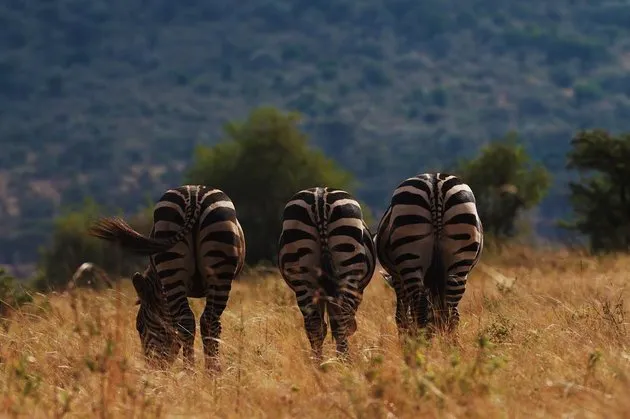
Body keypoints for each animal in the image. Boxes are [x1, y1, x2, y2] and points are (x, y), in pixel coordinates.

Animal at [87, 185, 246, 372]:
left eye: (139, 326)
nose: (151, 369)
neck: (156, 283)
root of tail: (194, 197)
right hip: (216, 264)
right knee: (207, 320)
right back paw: (209, 371)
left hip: (176, 264)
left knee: (190, 321)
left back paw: (192, 371)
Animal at [280, 187, 378, 360]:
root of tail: (320, 197)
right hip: (347, 269)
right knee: (340, 321)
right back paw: (344, 361)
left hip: (302, 274)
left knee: (315, 326)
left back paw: (318, 364)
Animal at [376, 173, 484, 338]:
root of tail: (435, 183)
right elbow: (436, 313)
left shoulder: (398, 279)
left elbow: (402, 316)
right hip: (460, 258)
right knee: (451, 311)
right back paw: (448, 344)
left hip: (410, 256)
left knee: (420, 308)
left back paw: (421, 343)